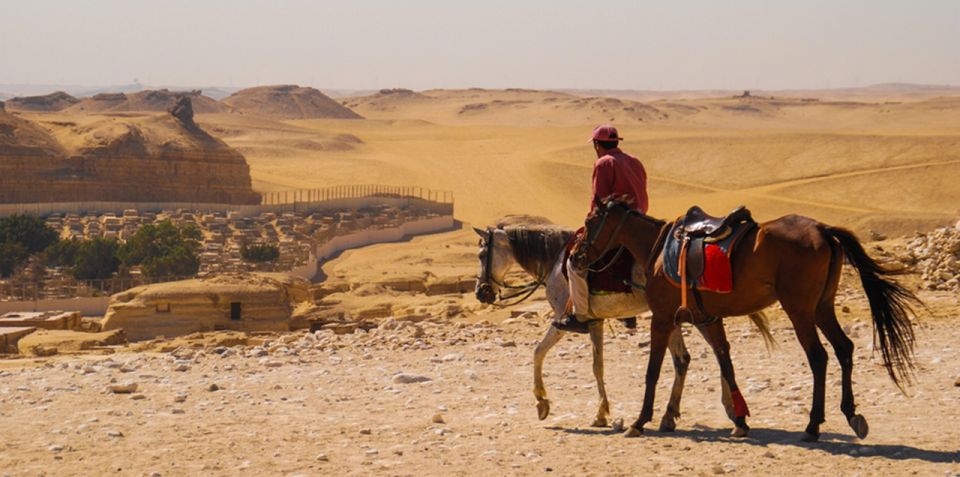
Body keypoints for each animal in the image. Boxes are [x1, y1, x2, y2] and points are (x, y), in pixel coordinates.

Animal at [572, 195, 920, 440]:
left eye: (590, 221)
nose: (576, 256)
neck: (656, 250)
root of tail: (822, 230)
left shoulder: (662, 319)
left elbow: (652, 371)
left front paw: (639, 421)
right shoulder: (708, 319)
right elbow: (726, 364)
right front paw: (739, 420)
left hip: (800, 310)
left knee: (818, 357)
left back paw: (812, 425)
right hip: (822, 307)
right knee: (844, 348)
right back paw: (851, 415)